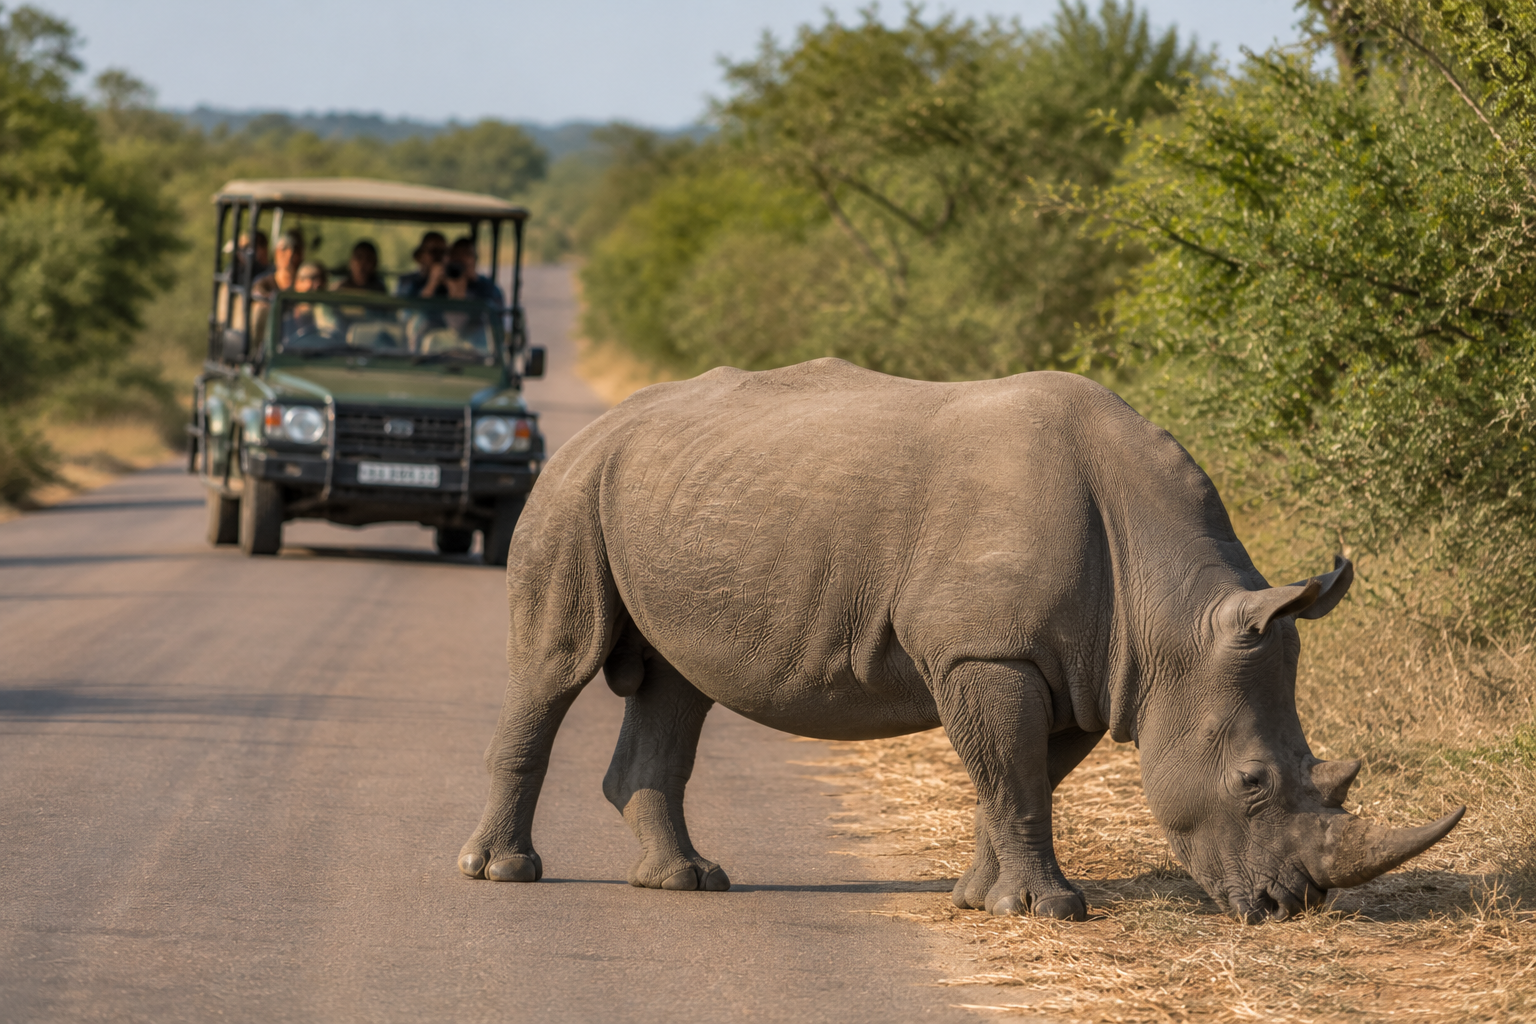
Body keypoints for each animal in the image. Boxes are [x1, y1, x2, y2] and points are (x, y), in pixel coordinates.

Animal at [459, 359, 1463, 922]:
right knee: (554, 664)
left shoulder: (1079, 668)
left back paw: (687, 883)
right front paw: (1052, 912)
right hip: (573, 484)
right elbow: (1011, 776)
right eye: (1252, 783)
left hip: (667, 492)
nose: (1288, 909)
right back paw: (502, 873)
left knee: (677, 685)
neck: (1170, 610)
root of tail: (604, 421)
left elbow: (1020, 780)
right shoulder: (989, 649)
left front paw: (985, 902)